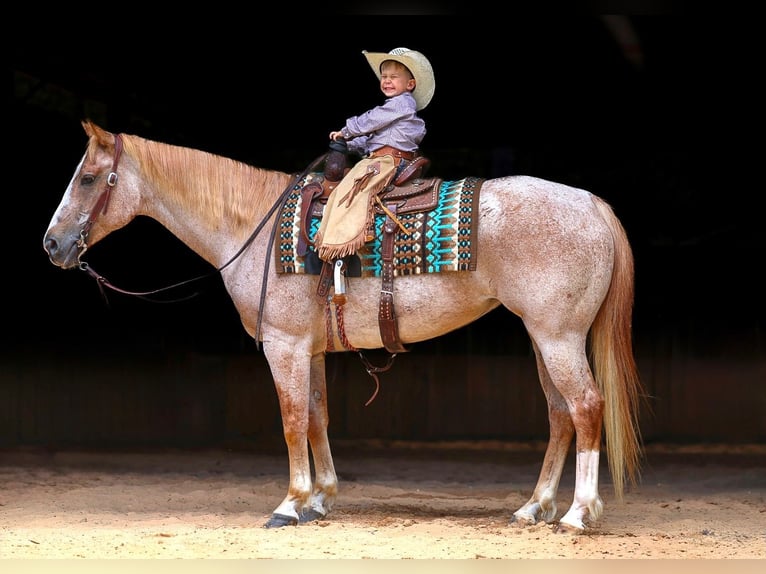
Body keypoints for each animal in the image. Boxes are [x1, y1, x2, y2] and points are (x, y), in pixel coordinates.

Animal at [43, 119, 643, 533]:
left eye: (89, 177)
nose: (52, 244)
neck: (252, 225)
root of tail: (591, 203)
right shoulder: (307, 350)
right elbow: (316, 418)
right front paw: (321, 498)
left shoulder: (283, 347)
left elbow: (291, 422)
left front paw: (289, 505)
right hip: (543, 337)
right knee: (560, 414)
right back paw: (534, 507)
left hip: (558, 337)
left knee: (586, 407)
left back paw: (577, 513)